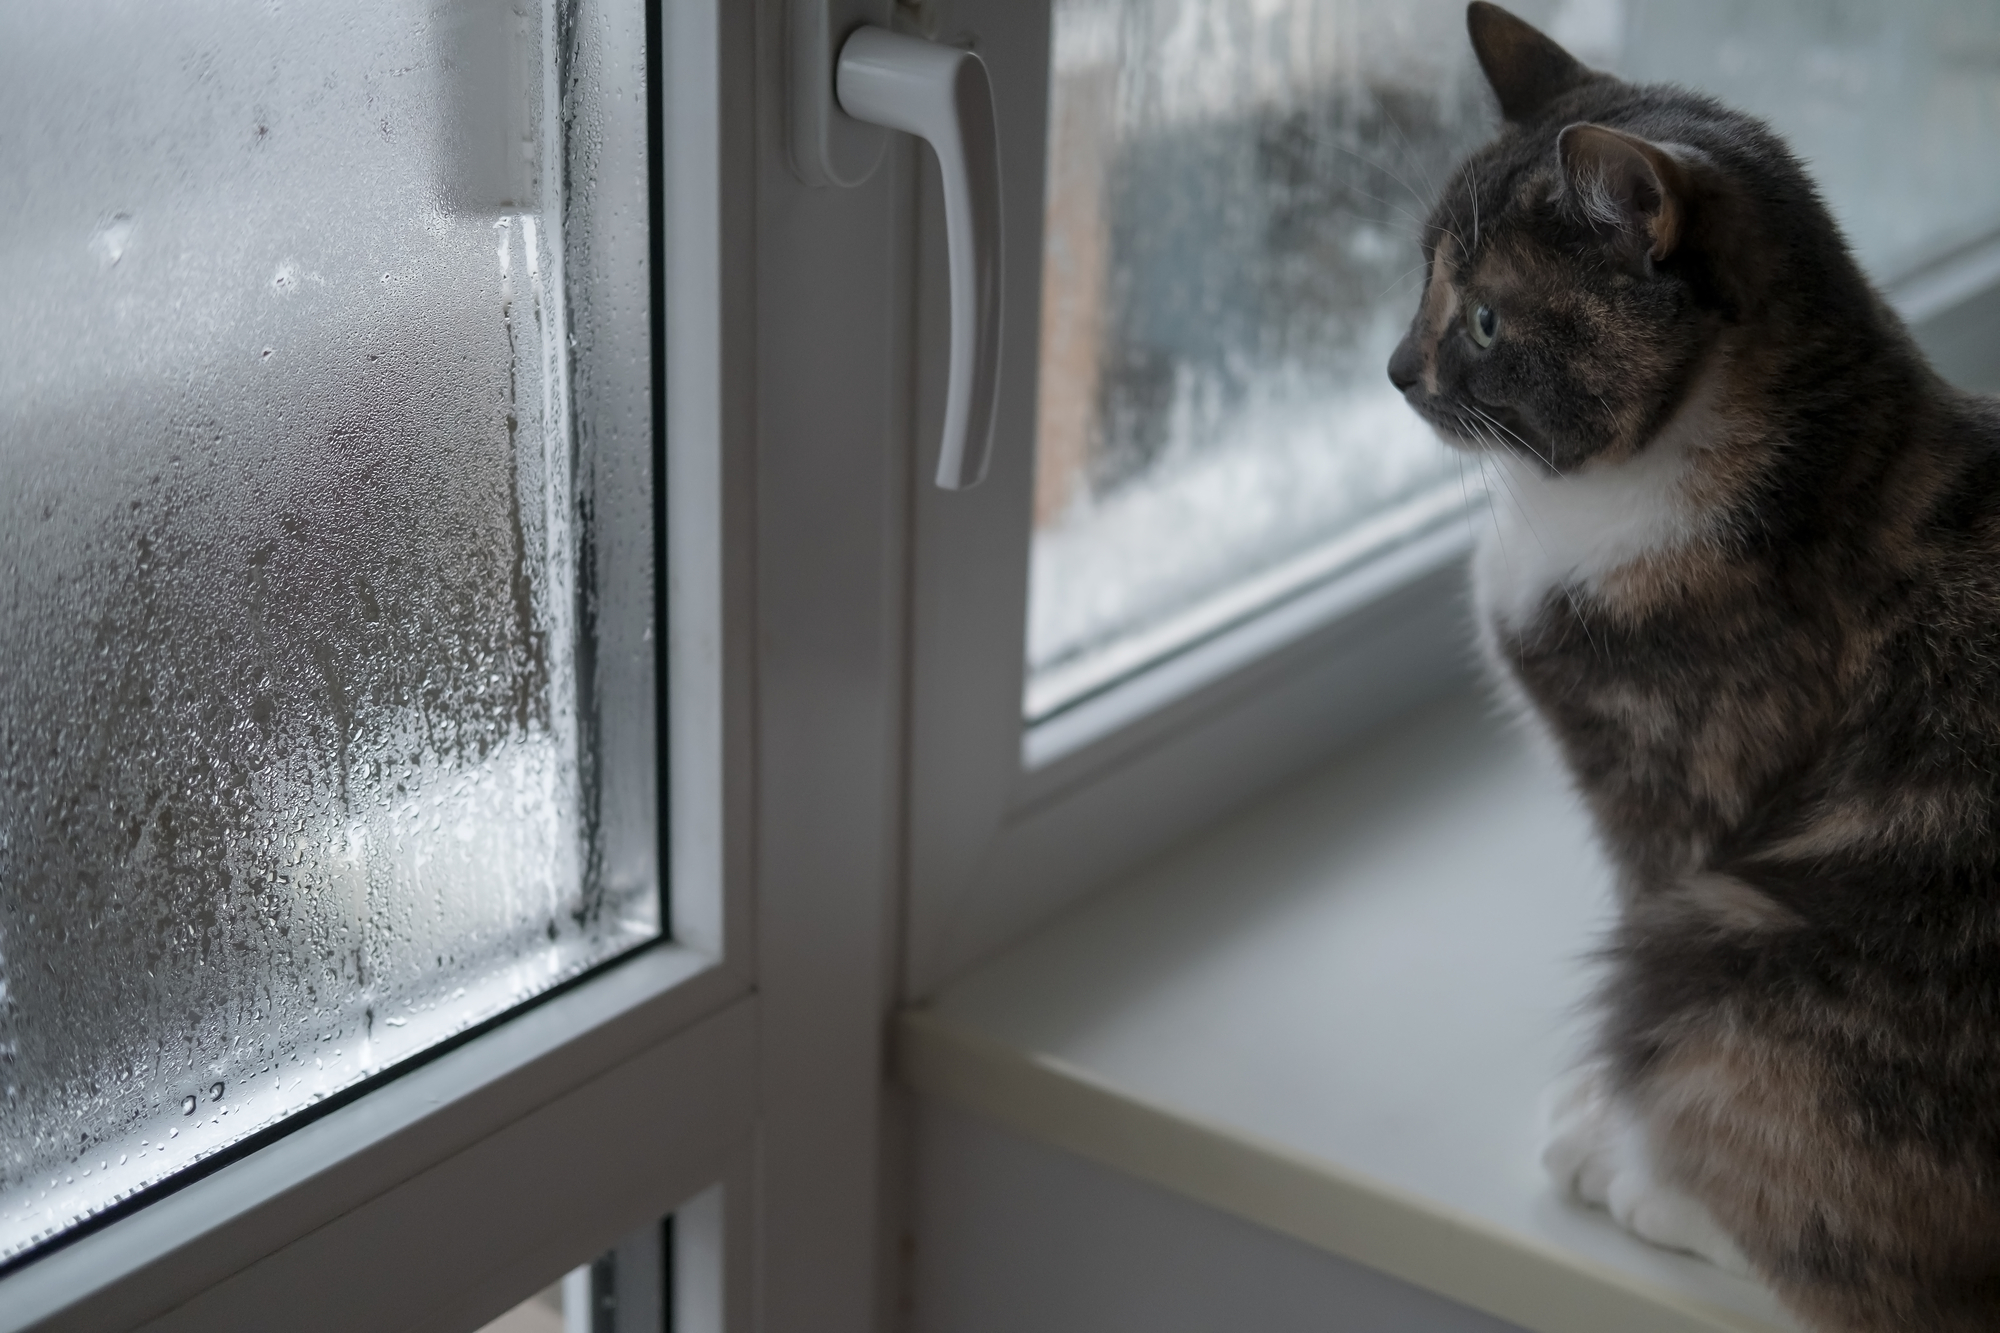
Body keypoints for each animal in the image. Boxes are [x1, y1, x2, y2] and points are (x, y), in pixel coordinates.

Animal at [1400, 5, 2000, 1320]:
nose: (1394, 369)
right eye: (1420, 276)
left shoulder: (1673, 804)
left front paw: (1608, 1127)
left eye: (1486, 321)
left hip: (1726, 949)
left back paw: (1638, 1183)